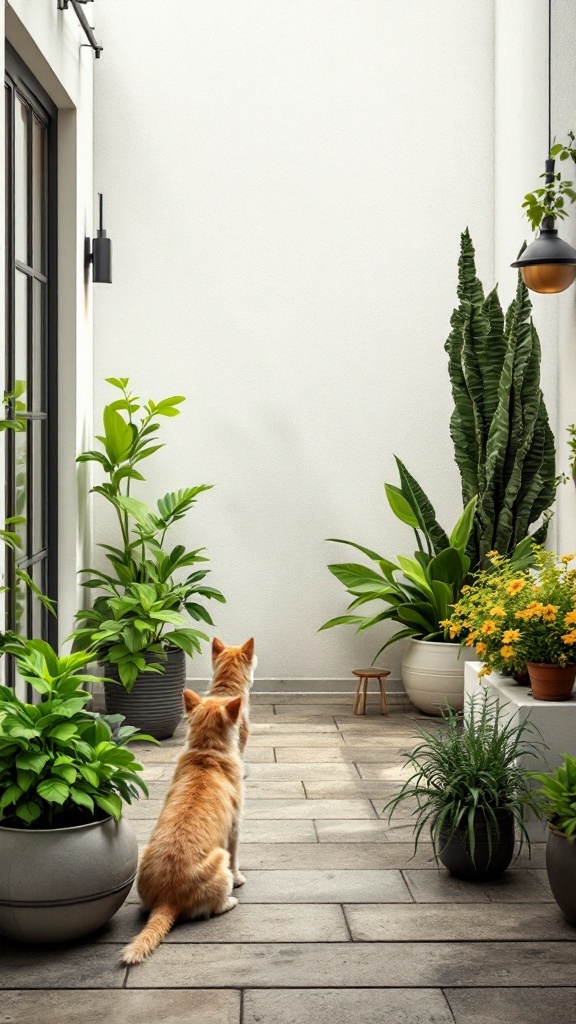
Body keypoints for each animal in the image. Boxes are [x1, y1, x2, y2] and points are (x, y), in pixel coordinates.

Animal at [120, 692, 243, 962]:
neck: (207, 751)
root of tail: (168, 899)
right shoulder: (235, 829)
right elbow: (237, 859)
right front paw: (240, 878)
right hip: (221, 861)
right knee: (213, 907)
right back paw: (230, 901)